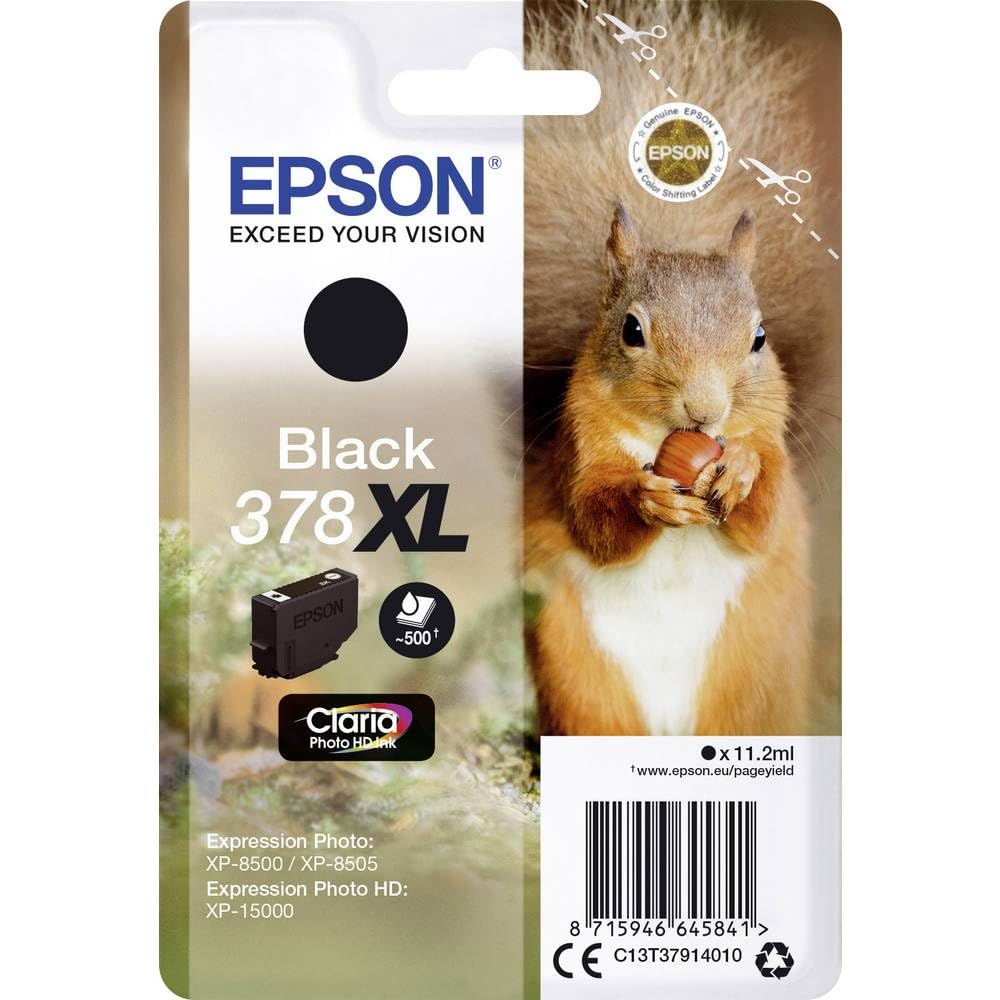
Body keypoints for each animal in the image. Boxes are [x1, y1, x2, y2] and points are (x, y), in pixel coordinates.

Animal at [522, 1, 838, 736]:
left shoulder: (775, 446)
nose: (705, 410)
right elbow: (594, 519)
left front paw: (741, 471)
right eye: (632, 330)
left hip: (753, 680)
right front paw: (649, 498)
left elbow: (766, 515)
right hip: (579, 677)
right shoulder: (579, 450)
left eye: (759, 338)